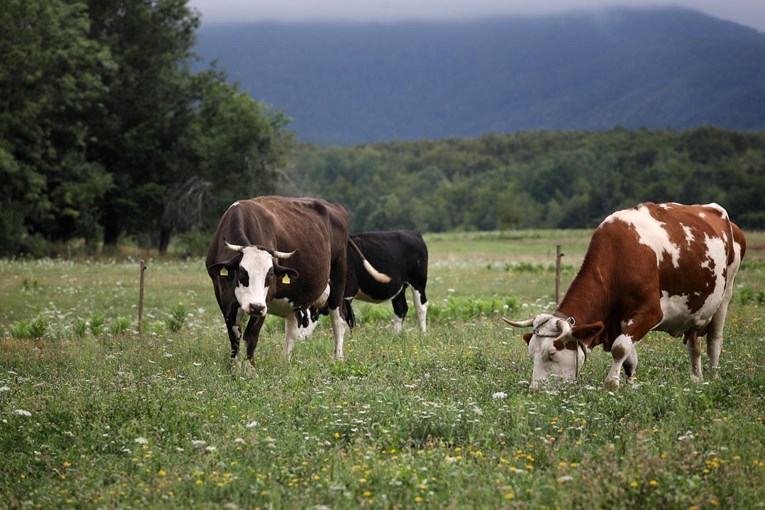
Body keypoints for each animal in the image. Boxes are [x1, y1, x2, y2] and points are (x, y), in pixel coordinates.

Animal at [204, 196, 388, 370]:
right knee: (292, 330)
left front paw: (249, 370)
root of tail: (335, 207)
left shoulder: (266, 298)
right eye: (242, 272)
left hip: (338, 279)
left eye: (271, 274)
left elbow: (251, 335)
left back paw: (338, 358)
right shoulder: (222, 295)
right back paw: (285, 362)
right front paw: (233, 367)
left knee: (339, 320)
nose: (256, 307)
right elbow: (234, 334)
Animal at [504, 201, 744, 388]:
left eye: (551, 354)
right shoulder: (618, 321)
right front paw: (629, 386)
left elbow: (620, 348)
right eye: (531, 353)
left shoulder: (650, 313)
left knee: (714, 340)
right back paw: (697, 379)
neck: (618, 257)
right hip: (696, 312)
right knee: (695, 345)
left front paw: (612, 384)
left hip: (726, 294)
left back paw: (713, 379)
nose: (535, 390)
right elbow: (630, 360)